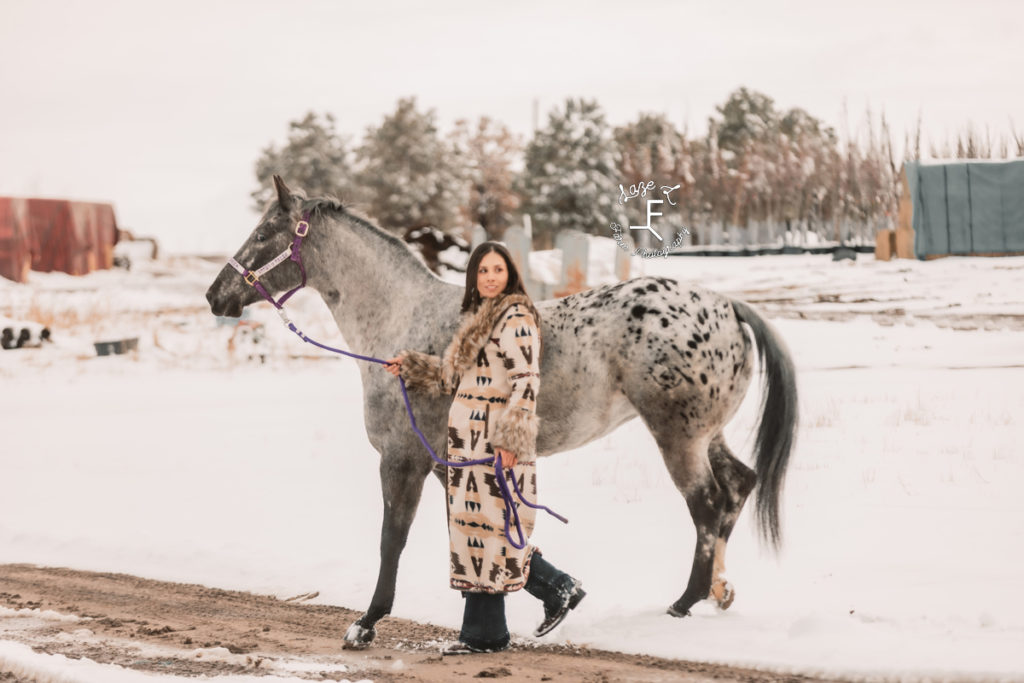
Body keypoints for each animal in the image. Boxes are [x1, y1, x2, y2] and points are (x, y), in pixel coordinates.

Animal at [205, 175, 798, 647]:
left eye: (263, 234)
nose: (216, 296)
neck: (402, 321)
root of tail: (726, 306)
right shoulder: (446, 461)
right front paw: (558, 600)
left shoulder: (401, 459)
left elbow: (391, 540)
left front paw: (366, 623)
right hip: (707, 435)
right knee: (737, 488)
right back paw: (720, 591)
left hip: (678, 438)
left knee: (707, 505)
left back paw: (684, 603)